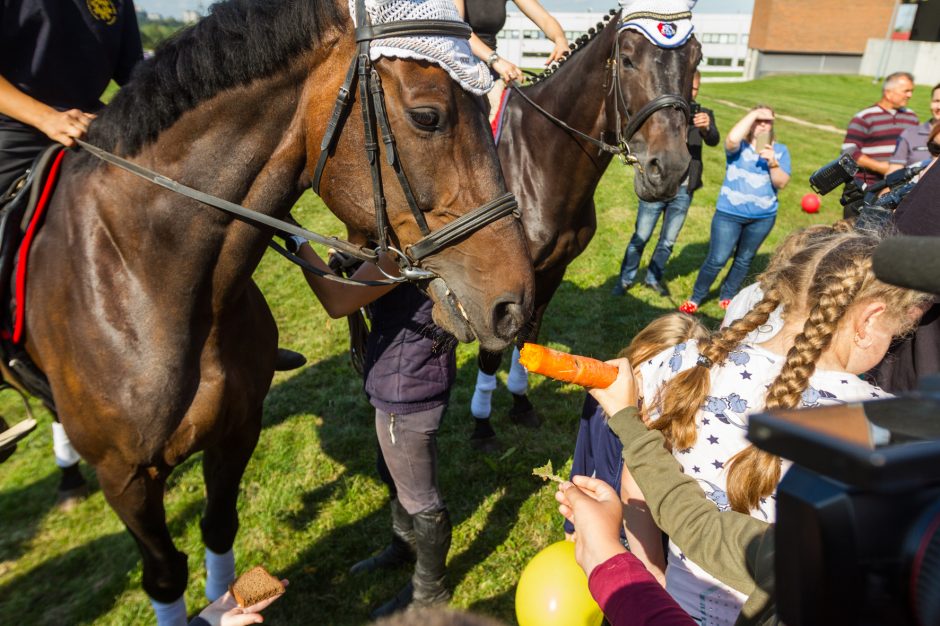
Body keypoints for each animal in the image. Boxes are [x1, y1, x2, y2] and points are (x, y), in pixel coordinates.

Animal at [22, 0, 532, 616]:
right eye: (428, 117)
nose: (515, 302)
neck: (146, 279)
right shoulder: (125, 477)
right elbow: (165, 575)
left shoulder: (239, 428)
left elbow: (220, 528)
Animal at [468, 9, 696, 434]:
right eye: (627, 60)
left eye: (696, 60)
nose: (670, 169)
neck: (536, 164)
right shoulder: (501, 284)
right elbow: (492, 350)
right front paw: (482, 422)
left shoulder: (552, 270)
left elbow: (528, 338)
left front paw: (521, 401)